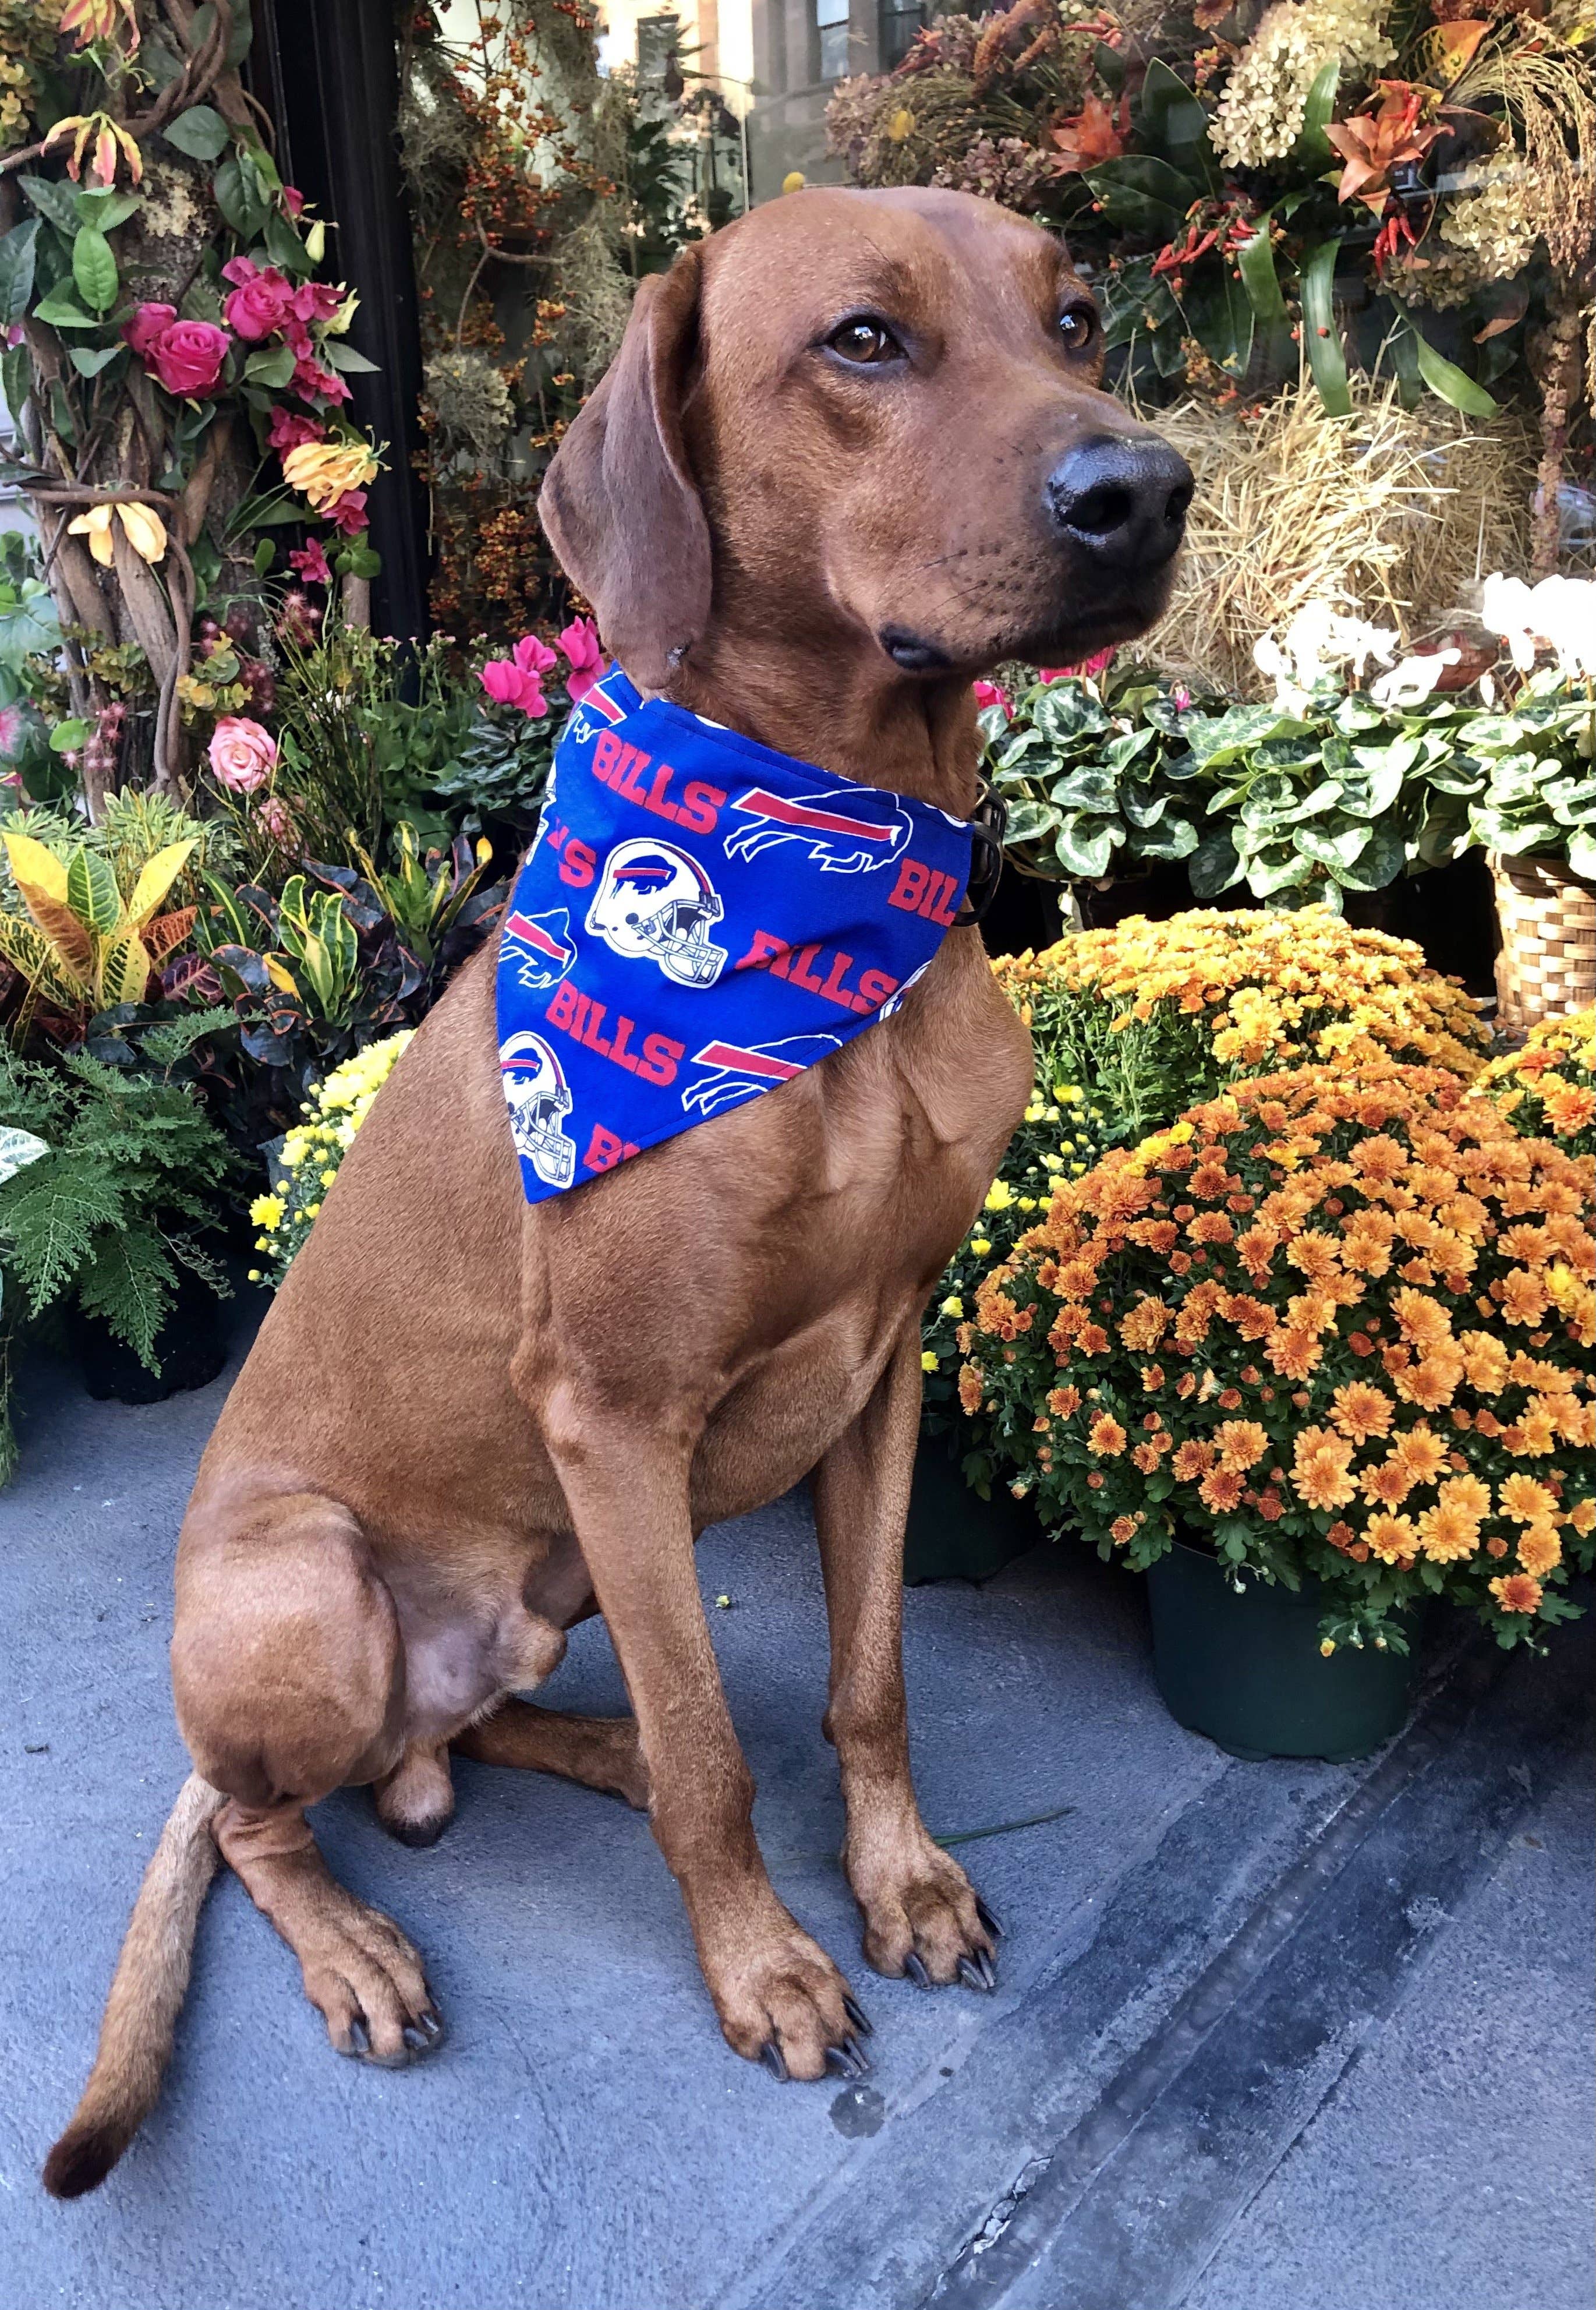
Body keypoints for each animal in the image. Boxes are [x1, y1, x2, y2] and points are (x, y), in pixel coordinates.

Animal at [43, 189, 1182, 2189]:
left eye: (1070, 318)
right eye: (864, 339)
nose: (1148, 486)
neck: (832, 872)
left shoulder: (881, 1367)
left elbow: (865, 1678)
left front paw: (894, 1878)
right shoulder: (615, 1412)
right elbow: (724, 1758)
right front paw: (767, 1965)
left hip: (554, 1574)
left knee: (491, 1727)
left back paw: (591, 1752)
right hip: (310, 1586)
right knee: (281, 1818)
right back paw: (357, 1940)